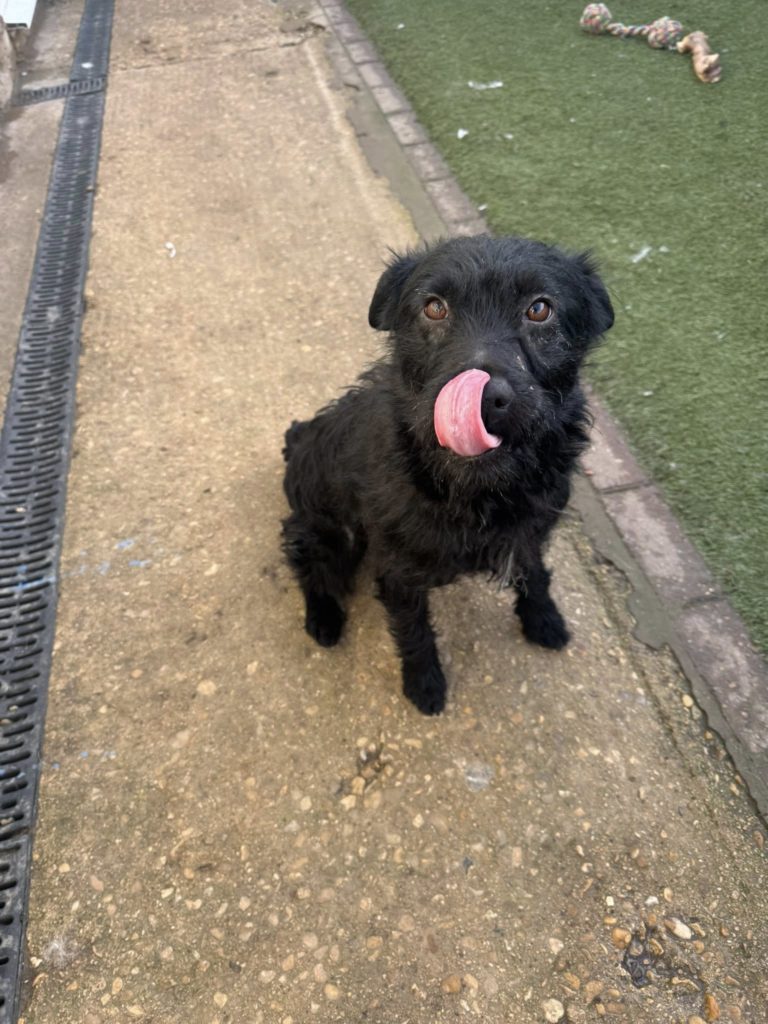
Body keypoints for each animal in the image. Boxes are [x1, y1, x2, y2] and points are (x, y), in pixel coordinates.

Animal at [281, 235, 613, 714]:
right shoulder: (399, 571)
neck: (479, 488)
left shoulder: (530, 531)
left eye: (539, 308)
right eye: (434, 307)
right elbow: (414, 633)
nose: (486, 397)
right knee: (308, 567)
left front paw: (543, 618)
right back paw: (323, 617)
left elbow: (535, 574)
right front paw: (424, 684)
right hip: (327, 532)